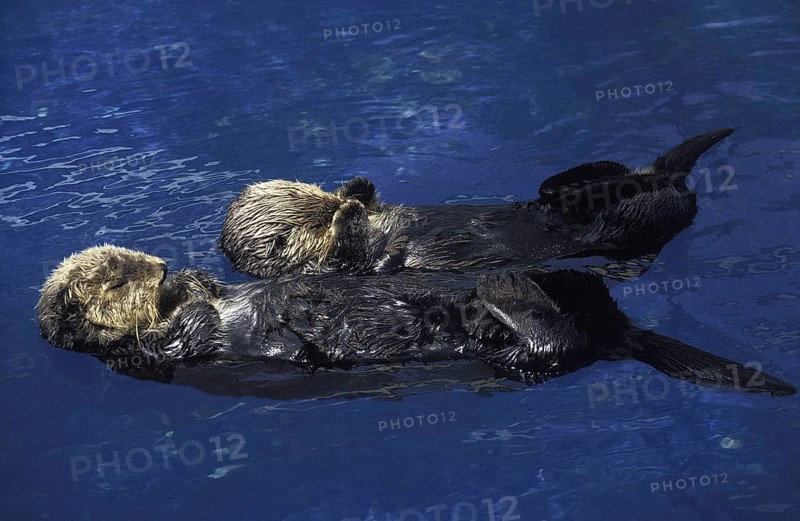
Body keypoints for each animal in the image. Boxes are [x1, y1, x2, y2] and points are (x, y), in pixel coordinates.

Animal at [220, 128, 737, 278]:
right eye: (317, 218)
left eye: (320, 195)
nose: (340, 203)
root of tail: (666, 177)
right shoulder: (340, 268)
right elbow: (359, 255)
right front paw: (351, 213)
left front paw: (357, 189)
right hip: (637, 221)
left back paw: (561, 185)